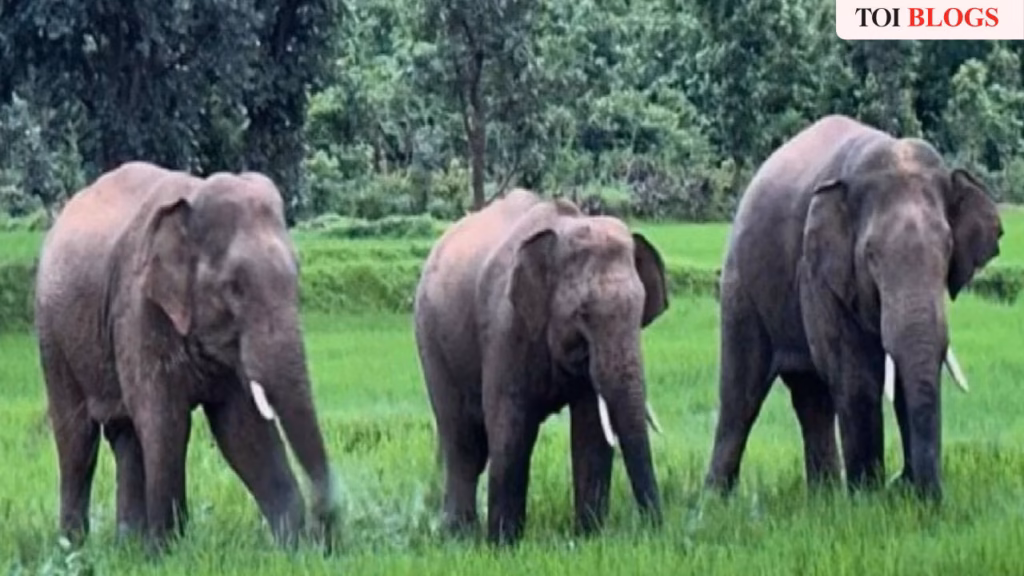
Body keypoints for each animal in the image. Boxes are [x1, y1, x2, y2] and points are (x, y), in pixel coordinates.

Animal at [34, 161, 341, 550]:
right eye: (233, 288)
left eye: (296, 277)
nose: (325, 532)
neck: (194, 194)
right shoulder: (139, 308)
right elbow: (166, 421)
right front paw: (167, 550)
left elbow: (241, 428)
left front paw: (292, 548)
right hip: (52, 335)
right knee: (77, 440)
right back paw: (74, 547)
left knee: (126, 436)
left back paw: (127, 545)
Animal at [413, 189, 669, 545]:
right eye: (583, 314)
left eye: (640, 311)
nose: (655, 530)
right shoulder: (505, 326)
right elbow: (511, 424)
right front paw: (503, 546)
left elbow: (591, 428)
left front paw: (589, 539)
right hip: (430, 339)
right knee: (462, 438)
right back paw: (458, 534)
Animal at [704, 114, 1003, 500]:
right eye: (870, 255)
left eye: (948, 248)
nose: (926, 494)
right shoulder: (819, 272)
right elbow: (856, 377)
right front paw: (869, 499)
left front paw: (903, 496)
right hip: (741, 288)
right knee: (741, 397)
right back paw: (716, 500)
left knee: (811, 397)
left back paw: (824, 496)